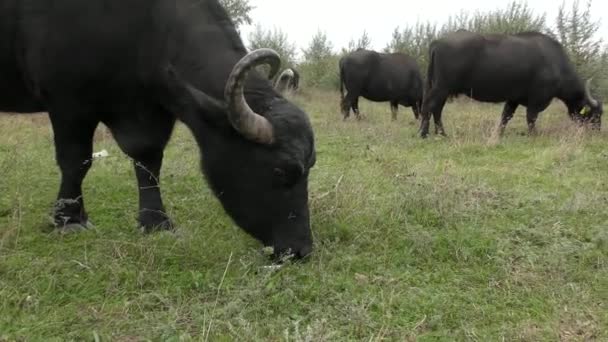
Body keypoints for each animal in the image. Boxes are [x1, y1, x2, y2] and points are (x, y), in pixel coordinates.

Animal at [2, 0, 318, 258]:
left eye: (310, 166)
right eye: (279, 171)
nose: (300, 249)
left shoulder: (154, 108)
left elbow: (148, 162)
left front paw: (156, 221)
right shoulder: (68, 104)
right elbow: (75, 161)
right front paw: (69, 219)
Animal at [420, 29, 600, 136]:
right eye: (596, 114)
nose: (597, 132)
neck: (555, 64)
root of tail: (438, 42)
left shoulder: (514, 99)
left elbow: (505, 116)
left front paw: (498, 134)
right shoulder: (536, 100)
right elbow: (531, 118)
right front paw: (534, 135)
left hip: (440, 88)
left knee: (436, 109)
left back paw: (440, 133)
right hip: (441, 88)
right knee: (430, 107)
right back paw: (424, 133)